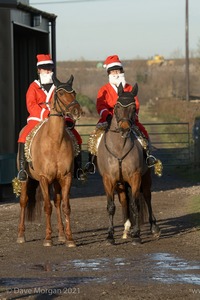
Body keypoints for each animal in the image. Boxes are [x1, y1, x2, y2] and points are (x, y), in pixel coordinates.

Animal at [16, 74, 82, 246]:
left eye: (74, 93)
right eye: (60, 93)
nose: (76, 111)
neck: (55, 141)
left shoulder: (66, 177)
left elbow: (65, 206)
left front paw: (69, 238)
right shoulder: (44, 178)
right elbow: (47, 207)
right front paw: (47, 238)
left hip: (57, 181)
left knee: (58, 202)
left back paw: (61, 234)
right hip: (27, 180)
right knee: (24, 201)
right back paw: (21, 235)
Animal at [97, 83, 161, 245]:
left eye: (133, 108)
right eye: (117, 106)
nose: (125, 128)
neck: (119, 148)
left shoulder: (135, 177)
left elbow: (135, 204)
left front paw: (137, 235)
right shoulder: (108, 179)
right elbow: (111, 206)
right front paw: (110, 236)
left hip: (145, 179)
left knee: (147, 197)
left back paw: (153, 228)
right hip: (120, 184)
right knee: (124, 200)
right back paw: (127, 229)